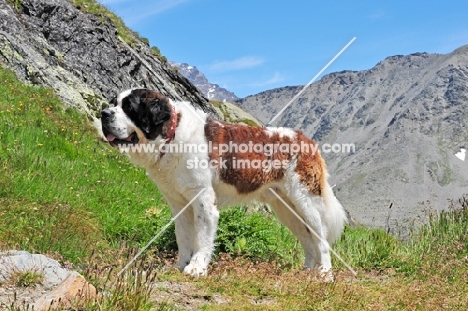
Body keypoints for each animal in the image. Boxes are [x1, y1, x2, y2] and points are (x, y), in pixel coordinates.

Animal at [100, 88, 346, 280]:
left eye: (129, 107)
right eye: (114, 103)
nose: (103, 113)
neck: (171, 135)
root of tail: (307, 140)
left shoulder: (202, 199)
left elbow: (201, 236)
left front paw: (196, 268)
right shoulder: (179, 203)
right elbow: (183, 236)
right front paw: (179, 265)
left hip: (307, 201)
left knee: (321, 238)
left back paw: (325, 275)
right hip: (285, 208)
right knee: (307, 238)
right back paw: (305, 273)